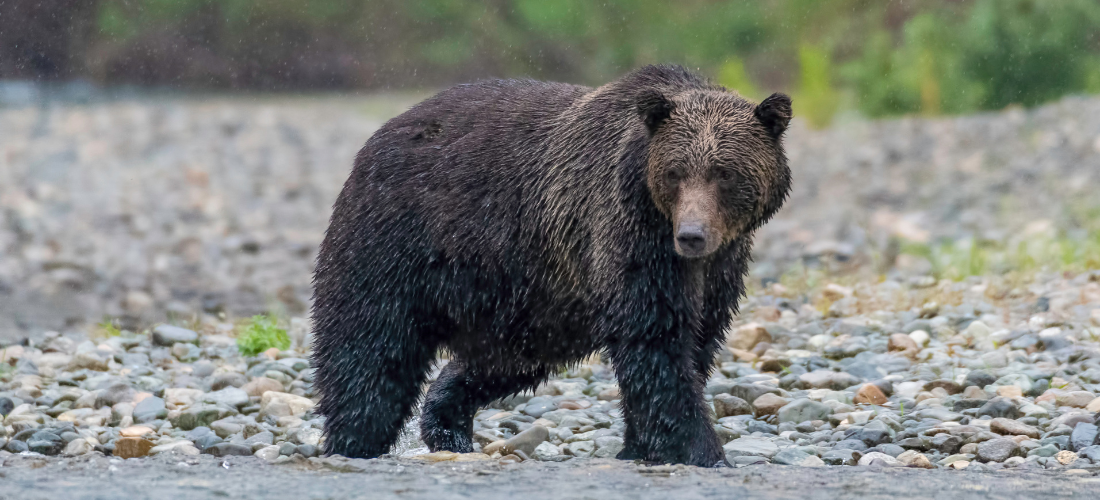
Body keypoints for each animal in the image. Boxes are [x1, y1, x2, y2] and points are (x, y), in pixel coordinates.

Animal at [310, 64, 792, 468]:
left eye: (724, 173)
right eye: (675, 172)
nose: (692, 235)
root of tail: (380, 135)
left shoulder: (721, 266)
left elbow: (697, 340)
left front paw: (640, 446)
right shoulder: (630, 232)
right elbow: (656, 341)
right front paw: (704, 452)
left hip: (528, 298)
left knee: (504, 361)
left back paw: (447, 424)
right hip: (398, 240)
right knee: (370, 348)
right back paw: (353, 439)